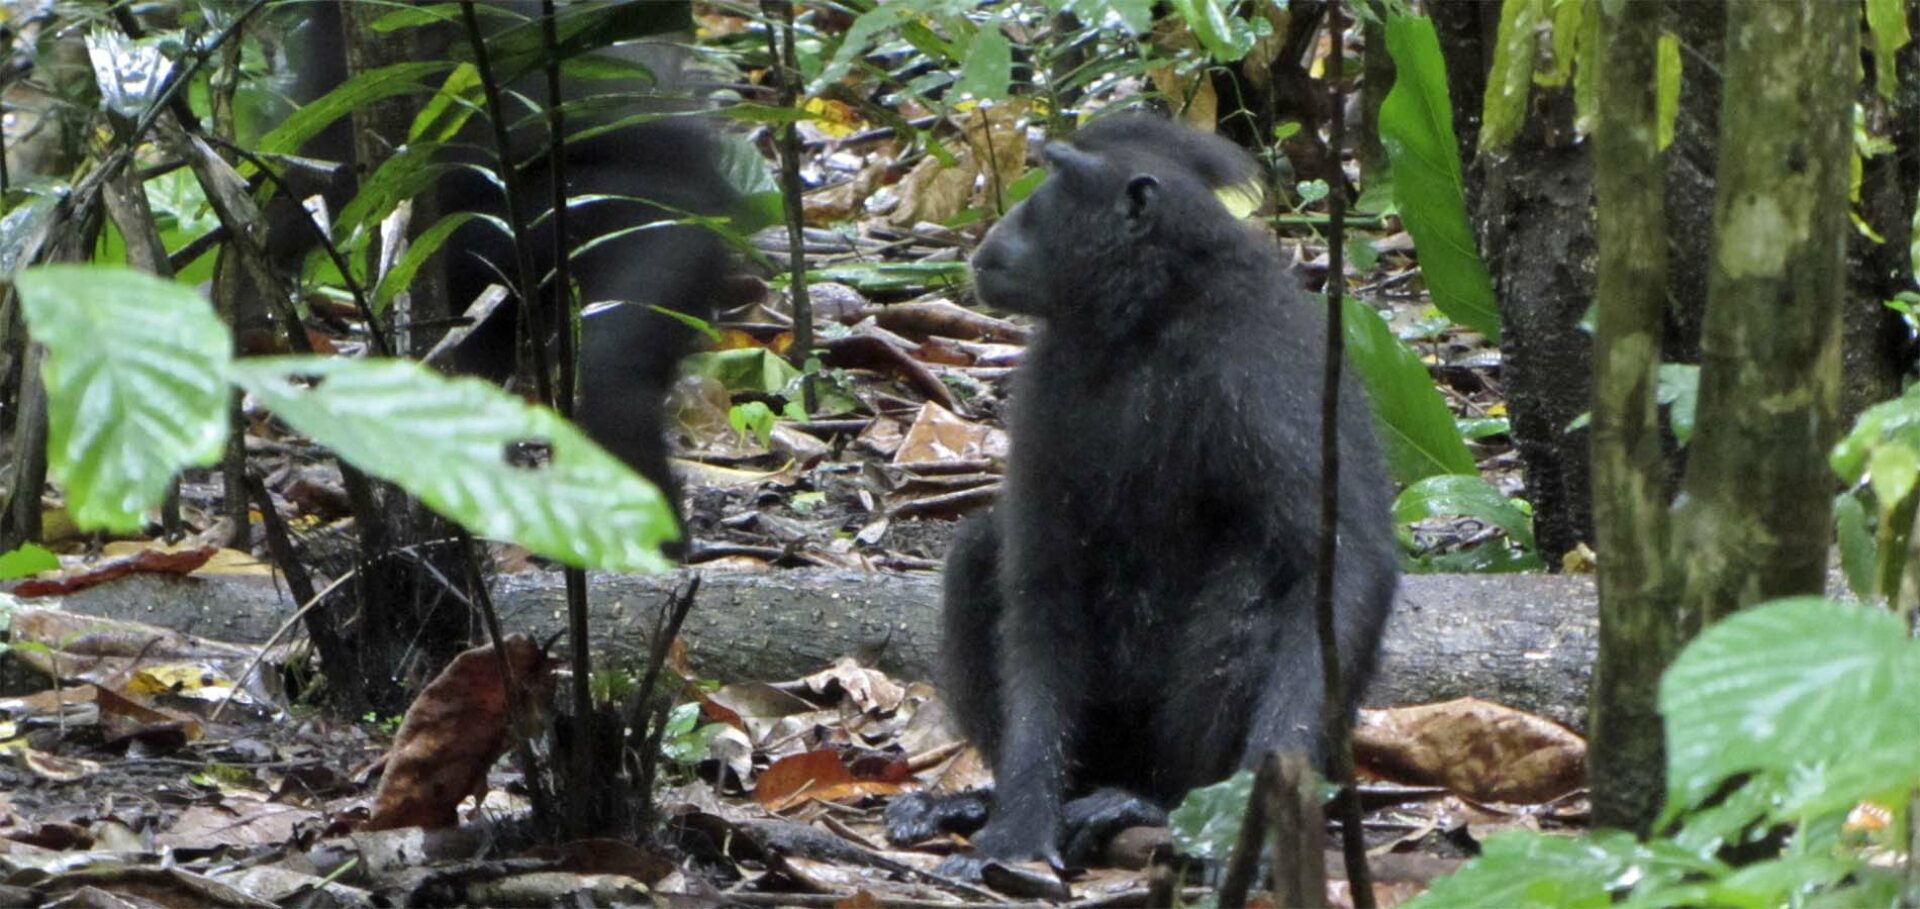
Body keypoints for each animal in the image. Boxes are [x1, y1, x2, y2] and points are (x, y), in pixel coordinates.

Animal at [884, 113, 1399, 870]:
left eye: (1056, 176)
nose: (1002, 222)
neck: (1150, 315)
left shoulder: (1265, 361)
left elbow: (1339, 563)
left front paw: (1247, 811)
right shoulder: (1049, 377)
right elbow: (1040, 572)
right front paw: (1019, 821)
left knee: (1257, 575)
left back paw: (1155, 801)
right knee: (980, 552)